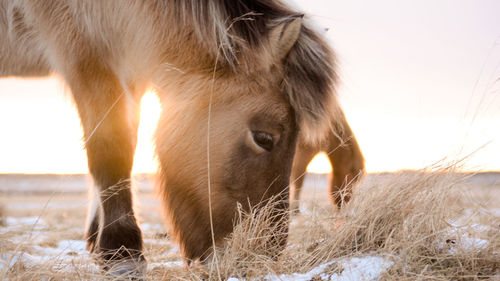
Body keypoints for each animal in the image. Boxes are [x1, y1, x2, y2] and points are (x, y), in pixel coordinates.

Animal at [0, 0, 350, 276]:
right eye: (264, 137)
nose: (257, 258)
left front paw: (99, 243)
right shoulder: (85, 55)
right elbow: (112, 148)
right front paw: (122, 251)